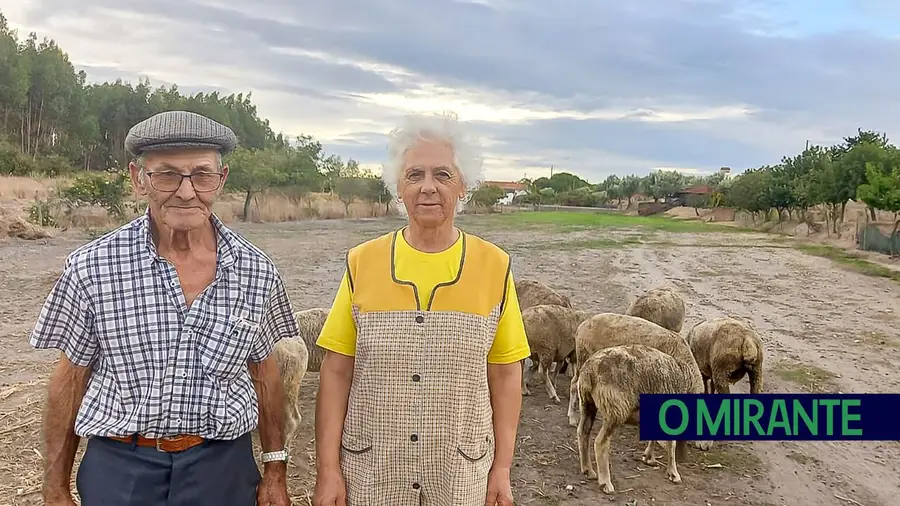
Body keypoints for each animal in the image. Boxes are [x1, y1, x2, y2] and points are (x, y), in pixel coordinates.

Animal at [576, 344, 696, 494]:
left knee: (583, 432)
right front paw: (673, 473)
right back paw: (605, 483)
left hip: (587, 403)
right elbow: (671, 444)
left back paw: (587, 470)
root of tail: (589, 370)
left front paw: (648, 457)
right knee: (600, 442)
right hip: (615, 409)